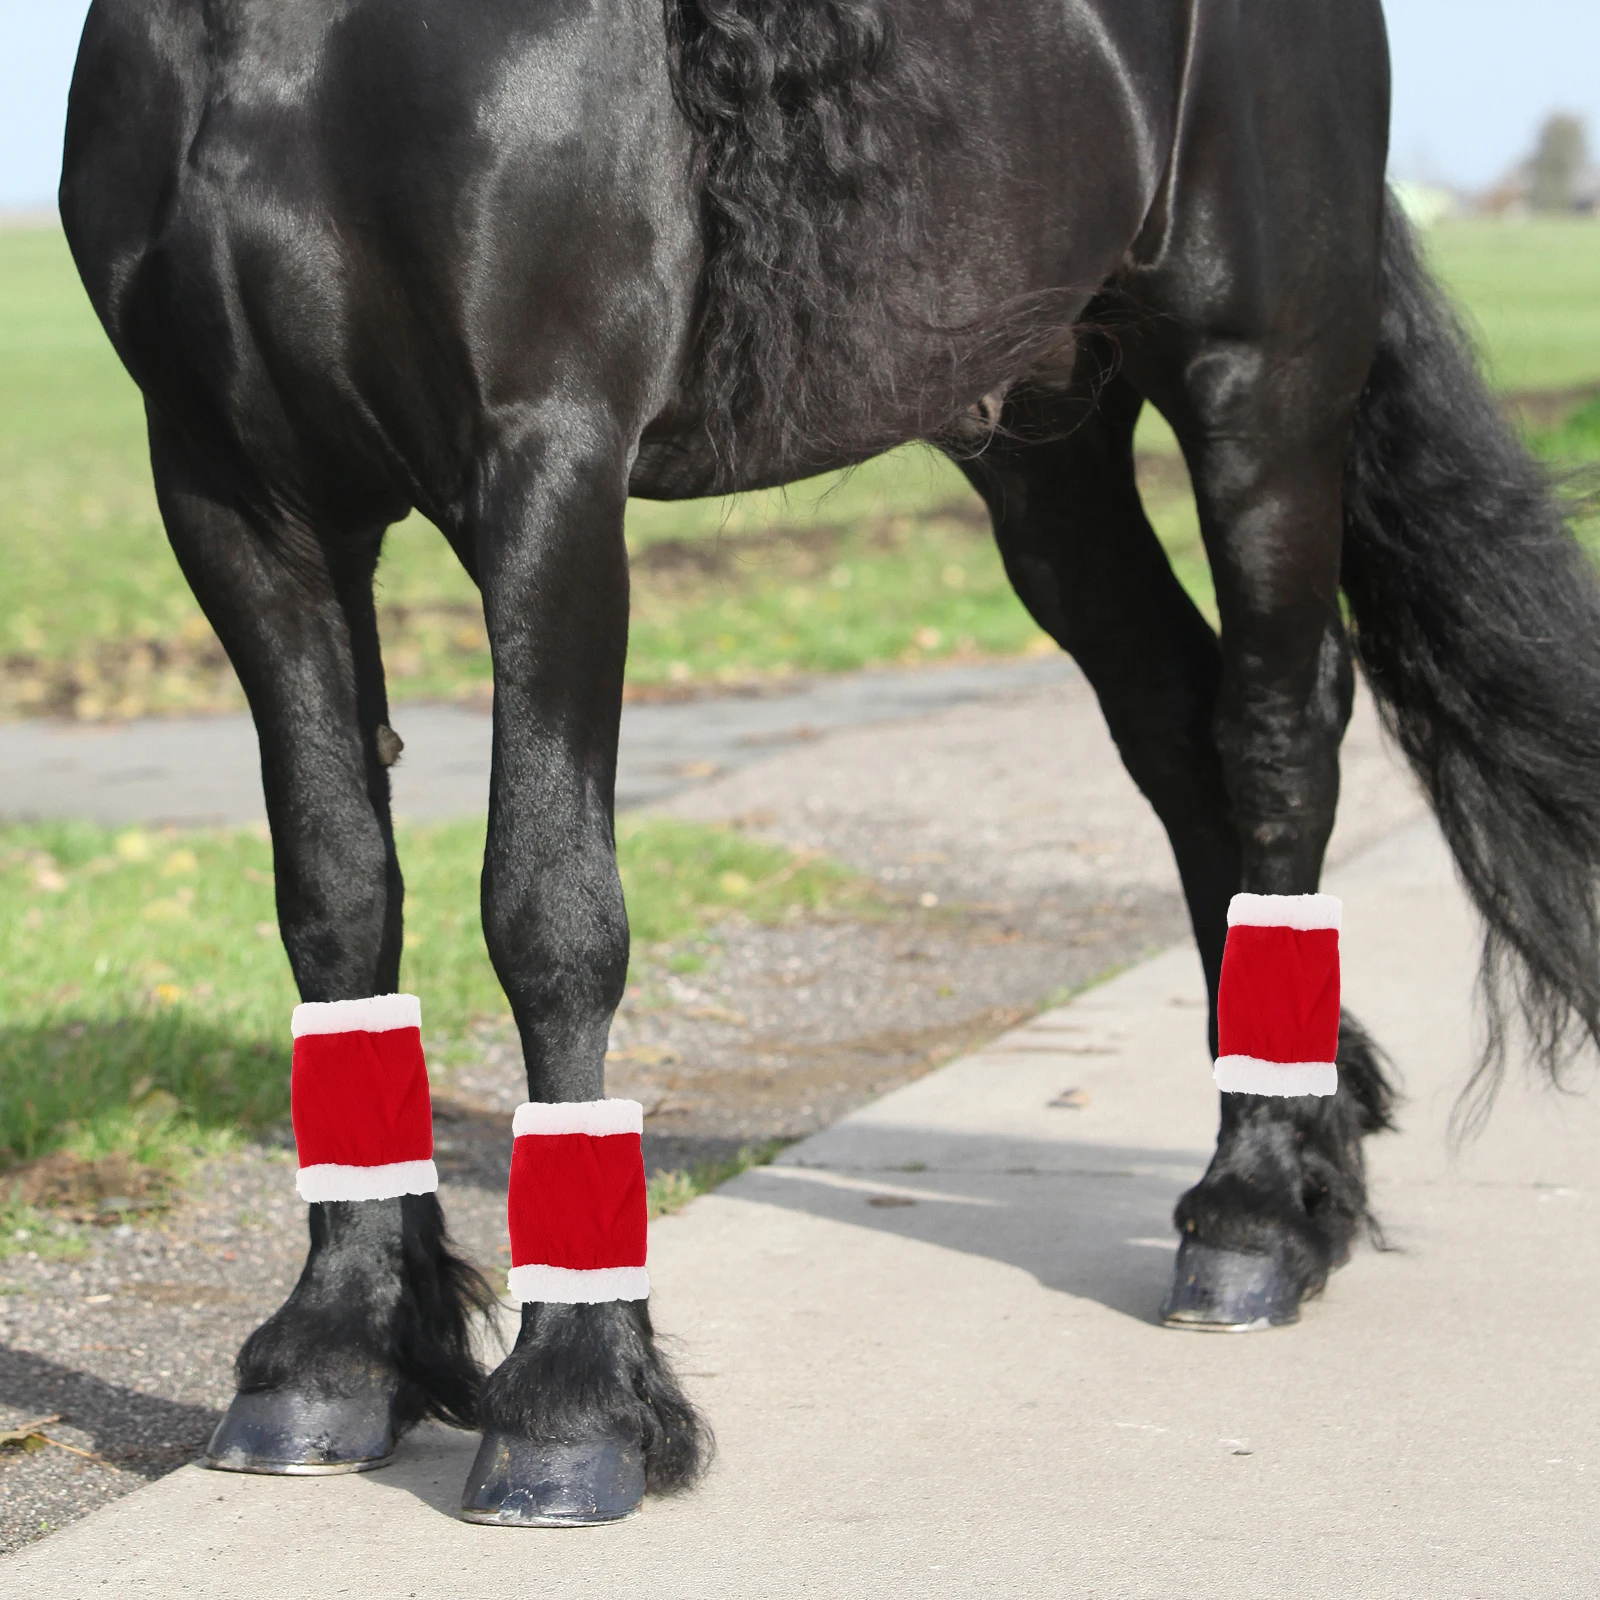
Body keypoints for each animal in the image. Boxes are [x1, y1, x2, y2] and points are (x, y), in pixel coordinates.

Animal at [58, 0, 1600, 1524]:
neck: (298, 46)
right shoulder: (236, 498)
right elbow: (336, 903)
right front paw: (335, 1352)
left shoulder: (547, 467)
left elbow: (548, 912)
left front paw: (574, 1406)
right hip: (1043, 433)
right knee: (1174, 721)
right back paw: (1302, 1169)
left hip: (1260, 386)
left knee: (1276, 729)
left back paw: (1261, 1216)